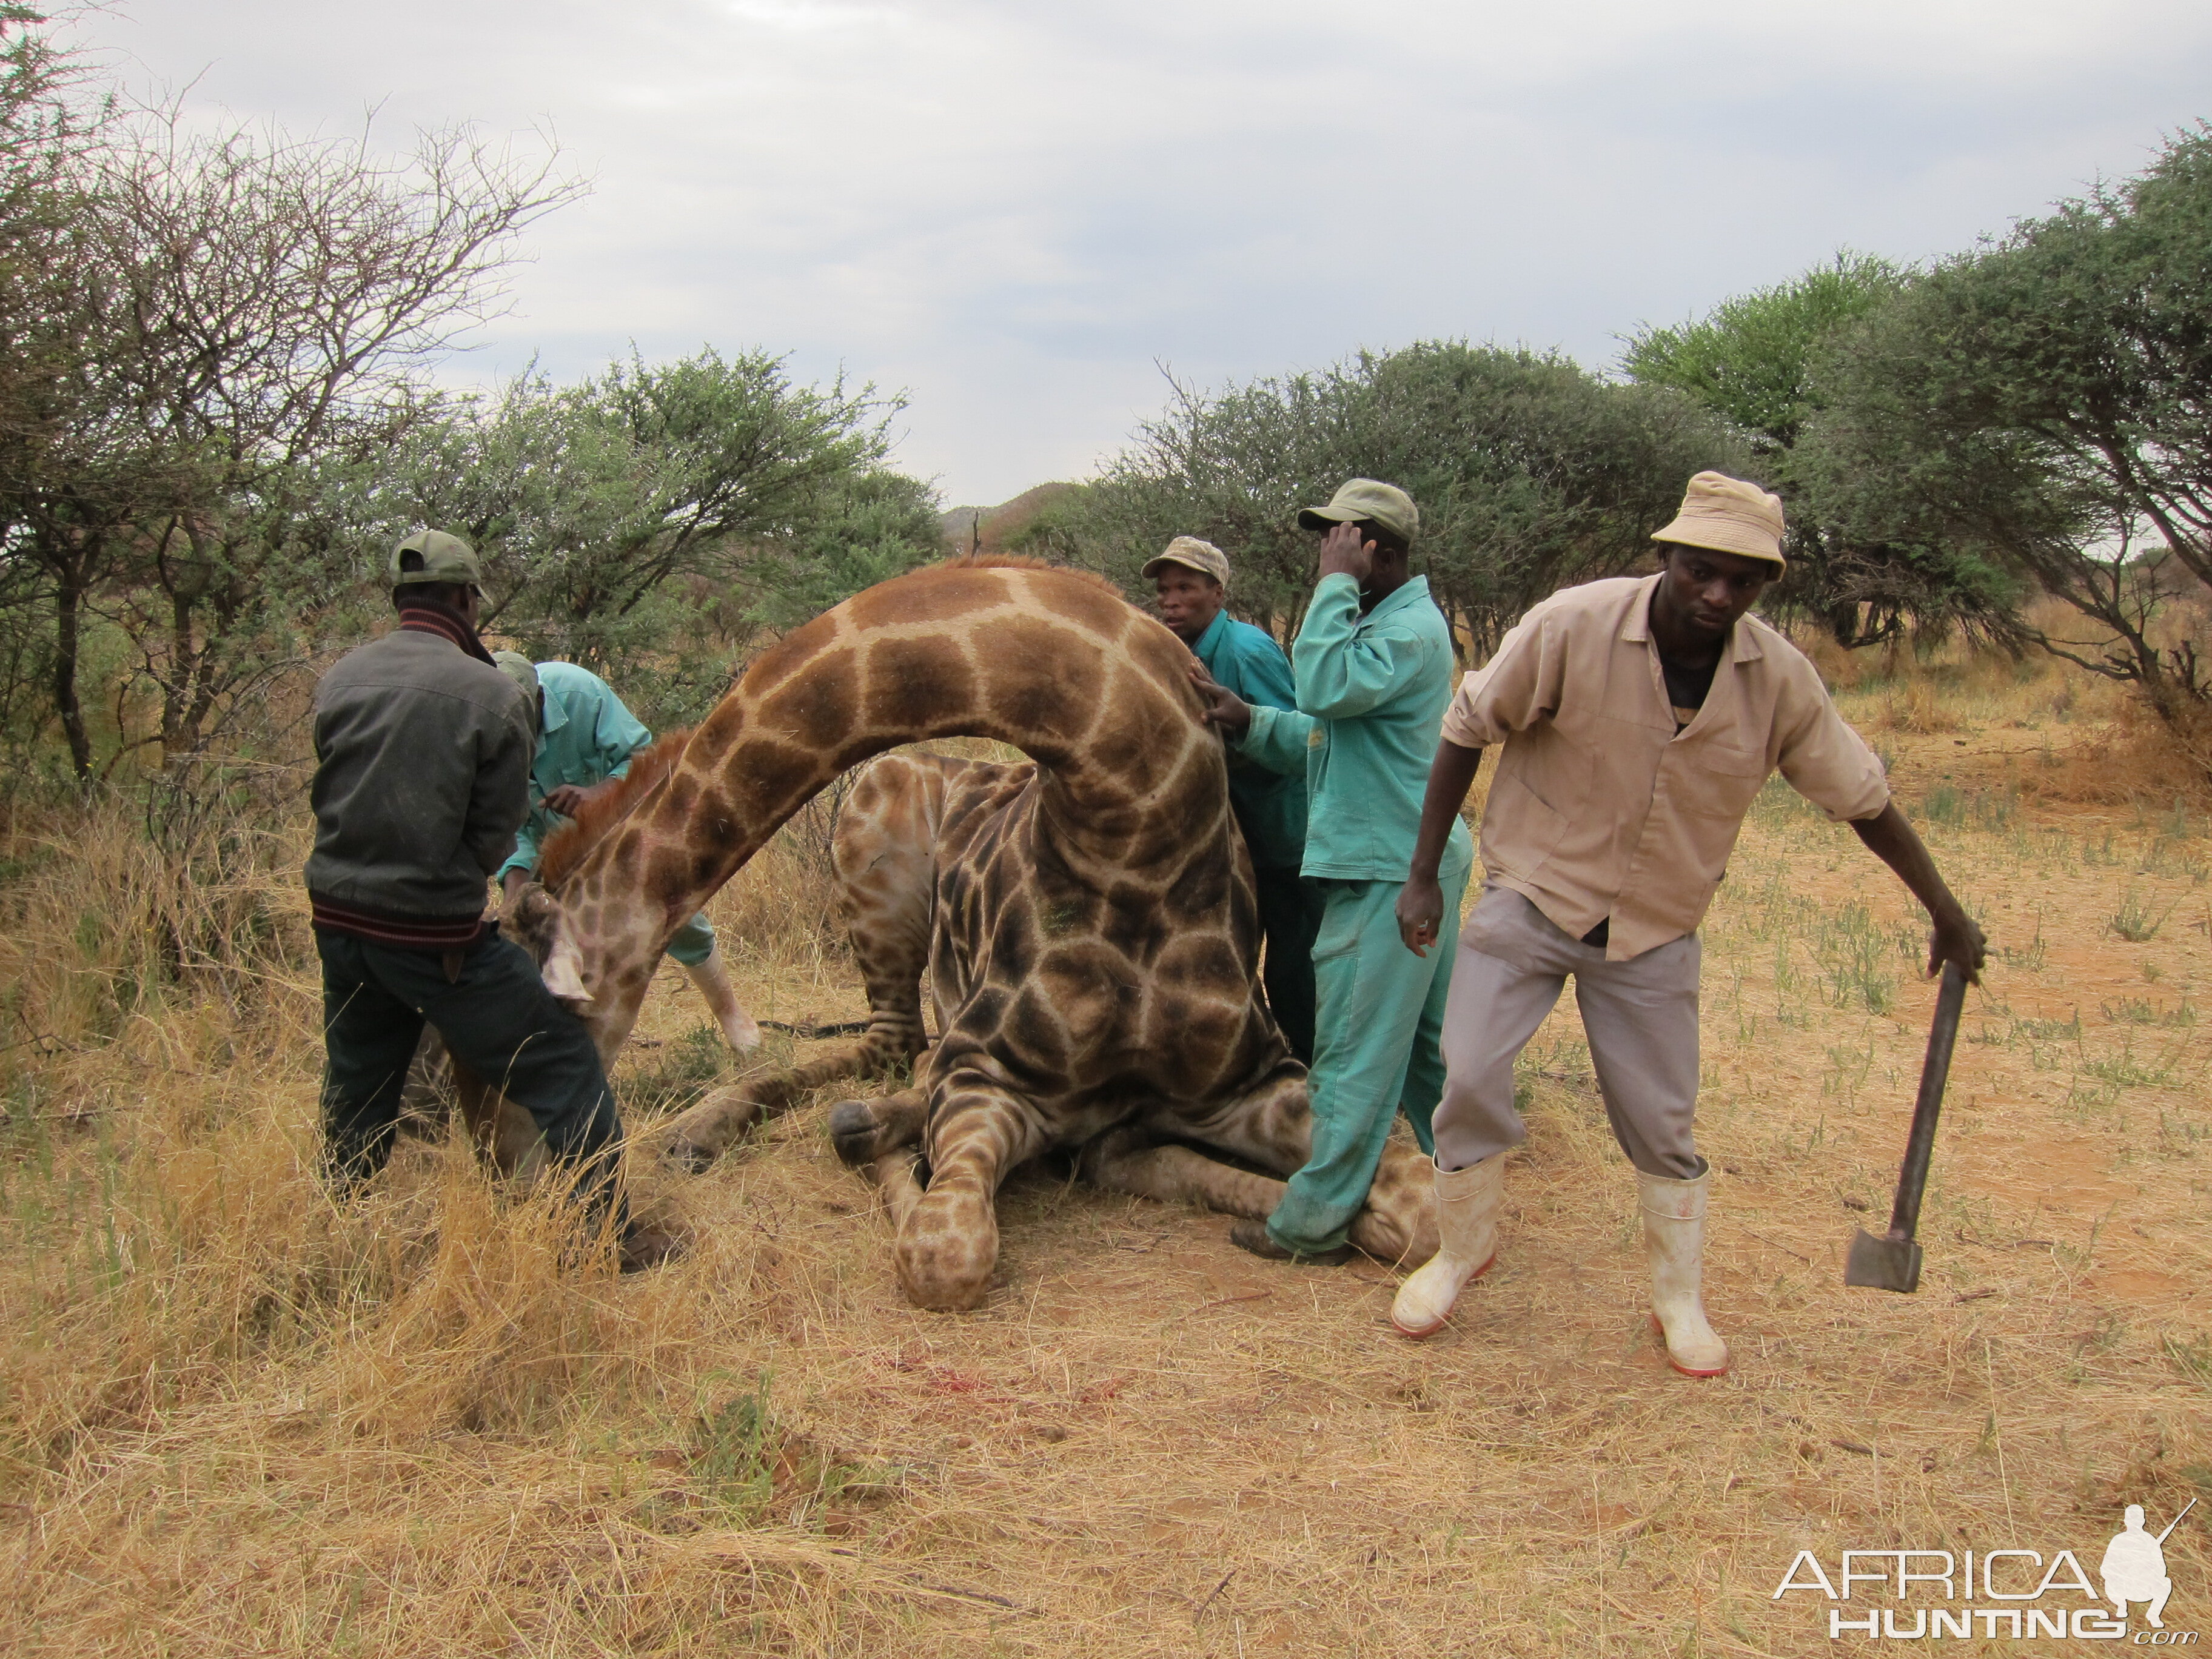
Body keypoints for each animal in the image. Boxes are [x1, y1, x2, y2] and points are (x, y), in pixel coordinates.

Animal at [515, 559, 1433, 1309]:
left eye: (549, 1012)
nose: (531, 1190)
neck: (1134, 824)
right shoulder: (985, 1075)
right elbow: (942, 1251)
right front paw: (896, 1154)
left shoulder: (1254, 1079)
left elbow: (1414, 1205)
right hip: (874, 842)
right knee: (883, 1046)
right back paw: (713, 1132)